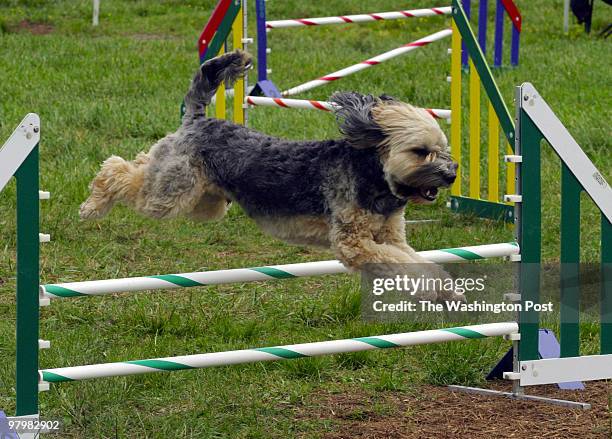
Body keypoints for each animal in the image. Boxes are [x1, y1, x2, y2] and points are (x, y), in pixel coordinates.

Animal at [81, 49, 462, 302]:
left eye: (443, 148)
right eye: (420, 151)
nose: (450, 176)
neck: (374, 178)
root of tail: (199, 120)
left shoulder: (391, 239)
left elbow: (418, 261)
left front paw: (448, 287)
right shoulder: (353, 243)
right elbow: (406, 265)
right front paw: (436, 288)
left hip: (202, 202)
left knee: (142, 162)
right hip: (170, 196)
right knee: (116, 168)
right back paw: (92, 206)